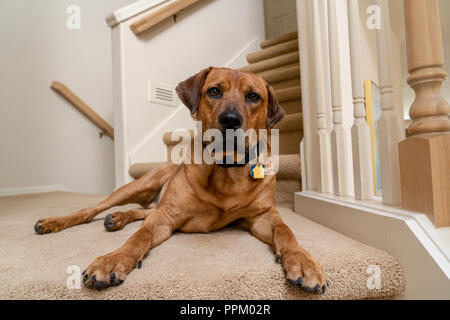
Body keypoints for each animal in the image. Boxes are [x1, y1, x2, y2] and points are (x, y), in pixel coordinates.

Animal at [34, 67, 326, 296]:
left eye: (253, 96)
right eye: (214, 91)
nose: (230, 120)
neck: (225, 170)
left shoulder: (264, 217)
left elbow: (286, 232)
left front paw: (304, 262)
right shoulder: (167, 216)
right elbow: (139, 237)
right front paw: (113, 259)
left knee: (142, 211)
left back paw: (117, 218)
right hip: (140, 185)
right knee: (93, 210)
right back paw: (56, 222)